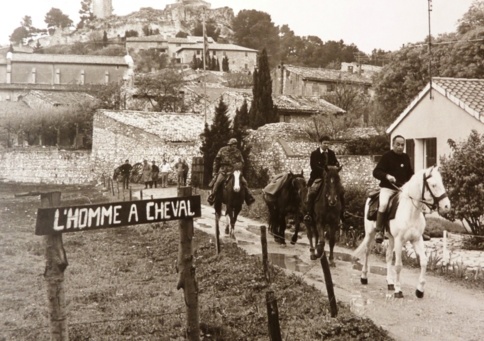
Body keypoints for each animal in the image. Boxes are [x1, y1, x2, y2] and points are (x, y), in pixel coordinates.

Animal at [354, 166, 452, 296]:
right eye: (434, 185)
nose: (447, 206)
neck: (411, 213)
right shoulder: (399, 240)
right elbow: (399, 265)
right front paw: (398, 290)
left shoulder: (416, 239)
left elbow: (423, 262)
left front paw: (420, 290)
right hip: (371, 233)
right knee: (367, 252)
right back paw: (364, 277)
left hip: (391, 238)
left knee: (388, 256)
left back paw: (390, 282)